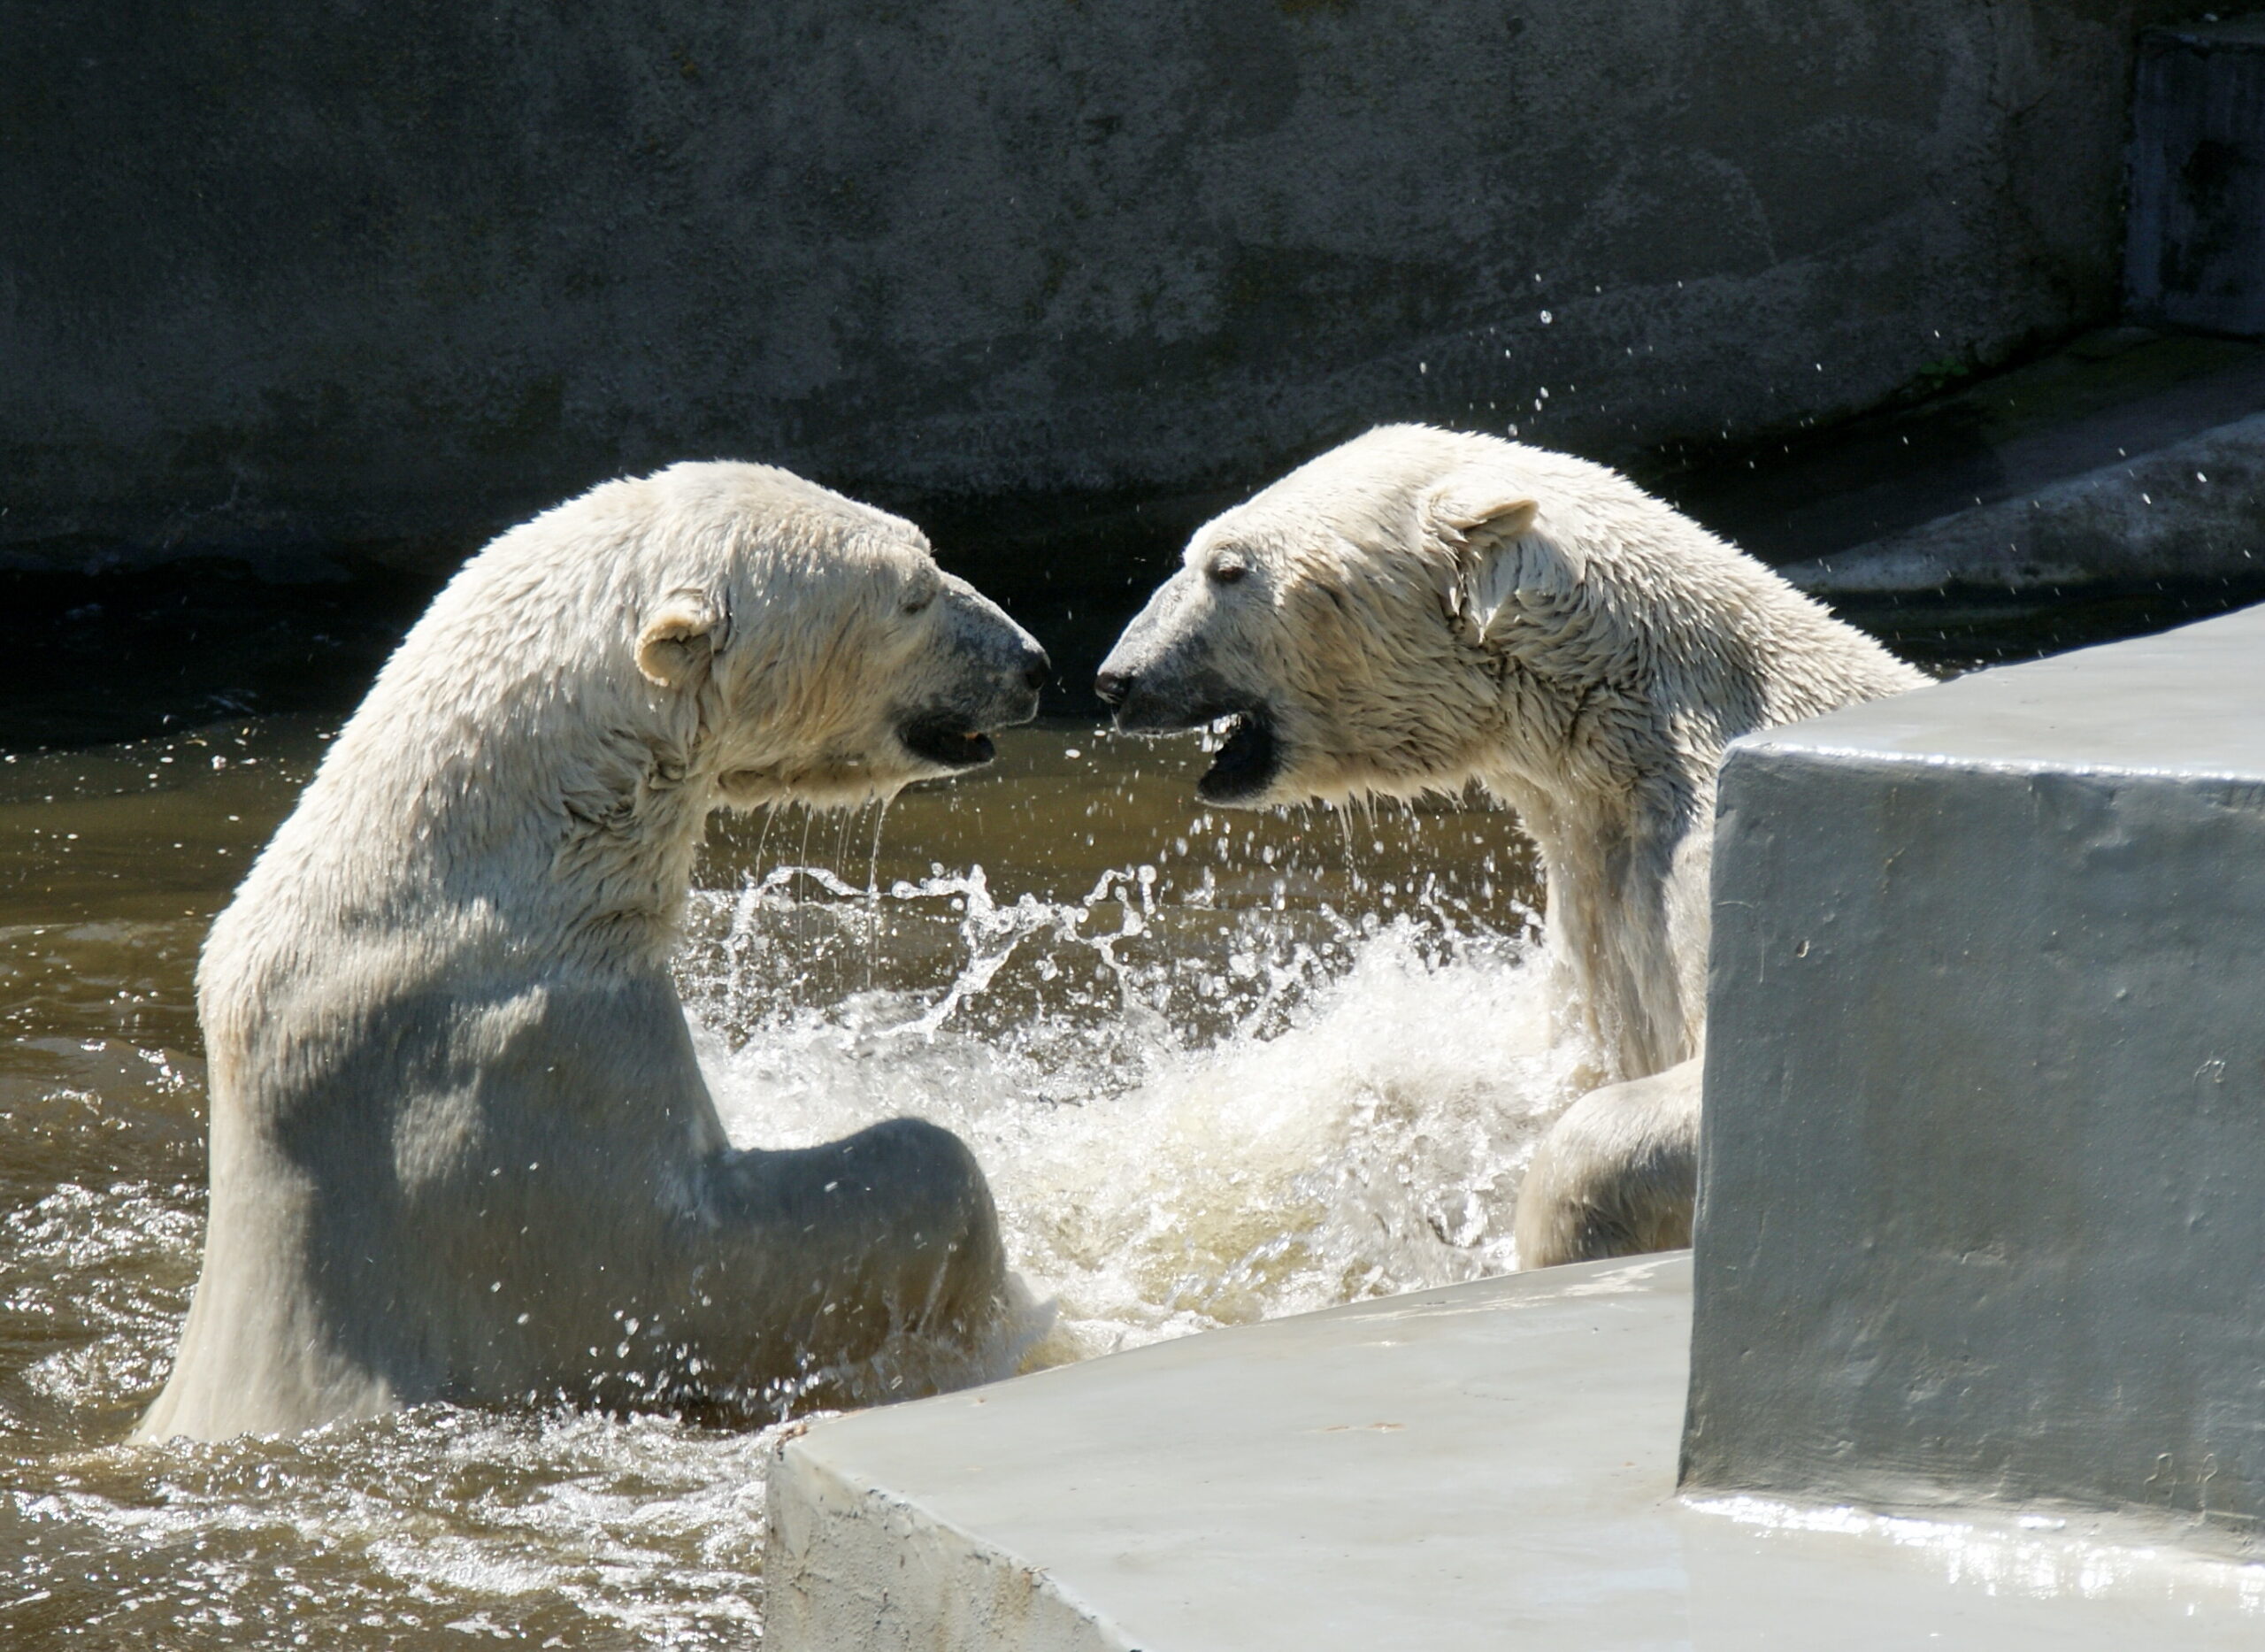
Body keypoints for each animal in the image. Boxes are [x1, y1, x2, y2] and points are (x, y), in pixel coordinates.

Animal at [1086, 421, 1920, 1259]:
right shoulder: (1594, 876)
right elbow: (1547, 1060)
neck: (1634, 718)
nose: (1117, 678)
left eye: (1227, 567)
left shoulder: (1730, 856)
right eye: (1198, 554)